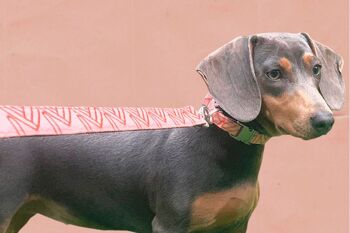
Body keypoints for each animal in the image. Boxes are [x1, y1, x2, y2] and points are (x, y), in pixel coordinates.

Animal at [0, 32, 344, 233]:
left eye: (316, 69)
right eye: (273, 73)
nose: (325, 120)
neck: (224, 146)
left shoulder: (235, 224)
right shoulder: (169, 224)